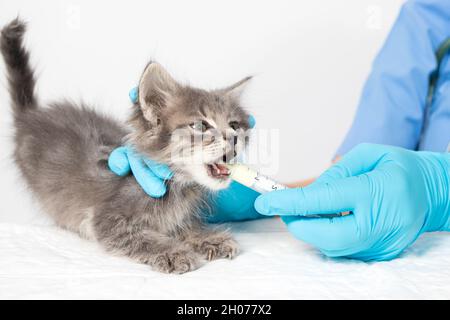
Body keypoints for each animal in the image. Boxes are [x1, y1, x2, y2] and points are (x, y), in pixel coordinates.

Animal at [1, 18, 251, 272]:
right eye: (201, 126)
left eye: (234, 125)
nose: (234, 137)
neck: (177, 188)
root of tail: (30, 117)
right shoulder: (107, 220)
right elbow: (144, 238)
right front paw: (173, 252)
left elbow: (183, 227)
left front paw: (208, 238)